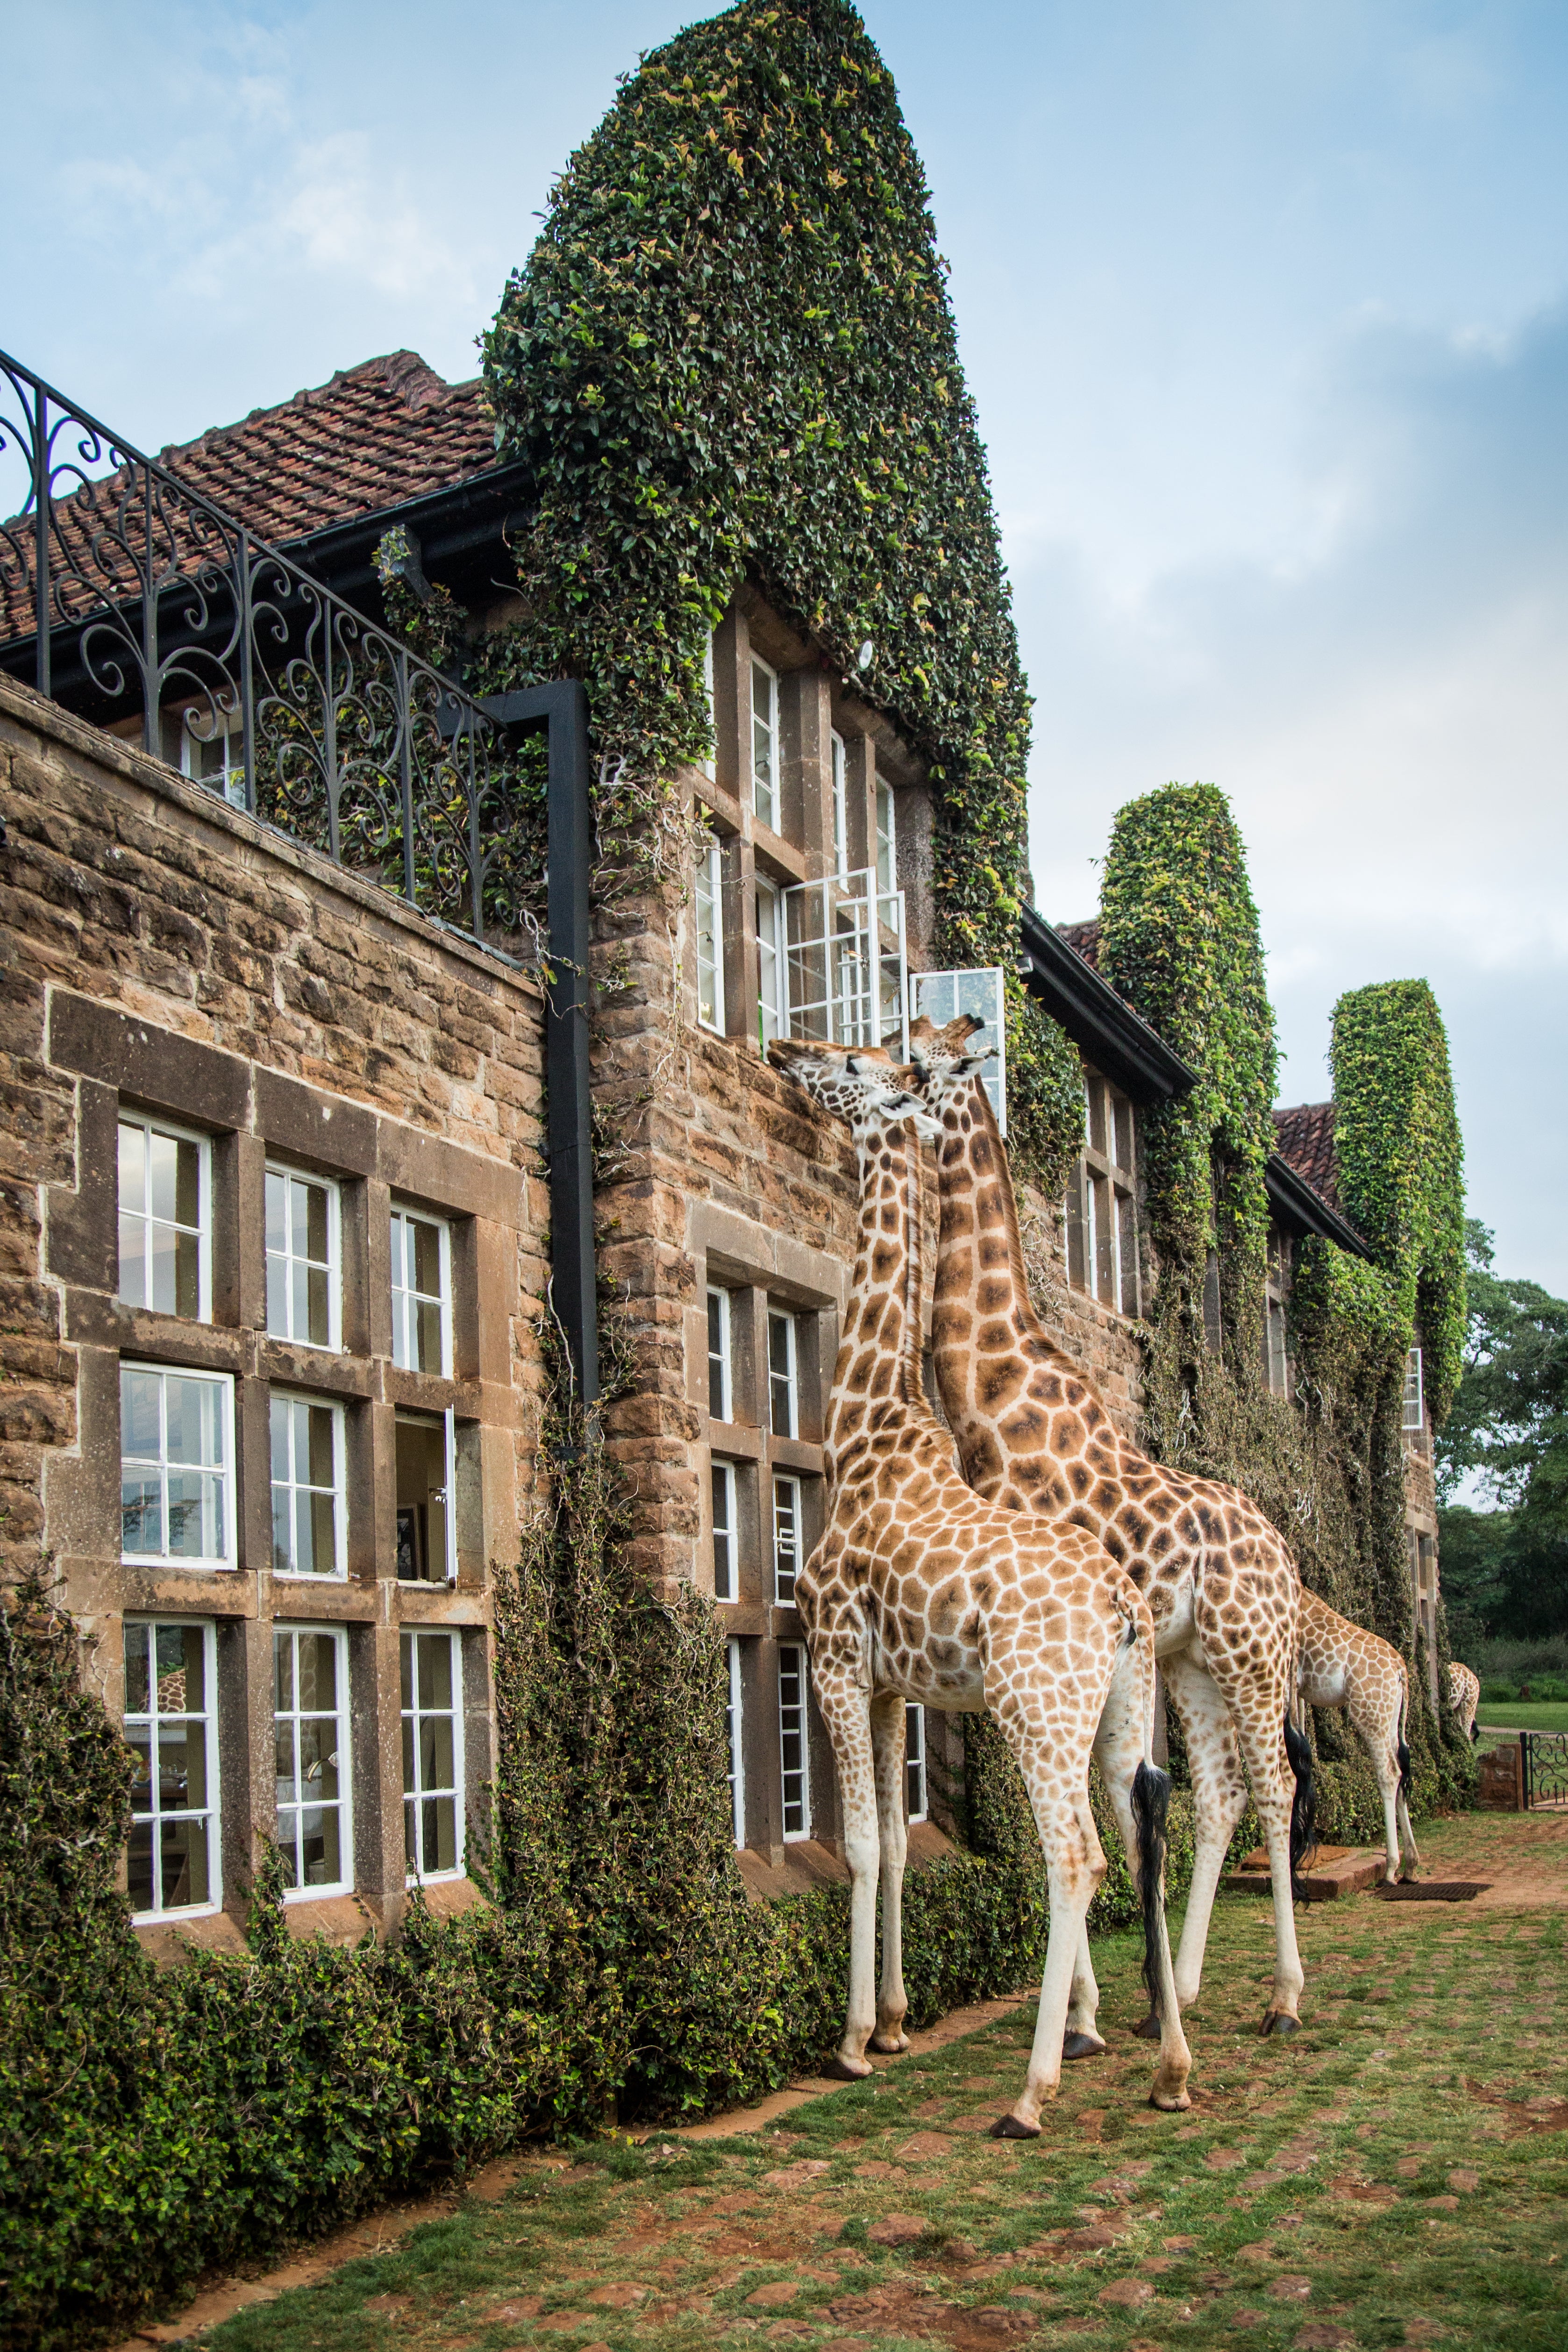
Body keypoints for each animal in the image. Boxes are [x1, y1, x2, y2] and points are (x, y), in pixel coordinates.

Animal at [767, 1037, 1192, 2132]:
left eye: (850, 1063)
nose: (783, 1047)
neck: (865, 1430)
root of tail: (1124, 1609)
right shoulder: (889, 1685)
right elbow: (897, 1844)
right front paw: (894, 2022)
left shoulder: (835, 1658)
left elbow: (862, 1845)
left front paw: (850, 2044)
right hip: (1117, 1712)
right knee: (1137, 1835)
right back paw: (1170, 2067)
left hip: (1034, 1709)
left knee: (1075, 1856)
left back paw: (1032, 2092)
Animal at [907, 1015, 1312, 2037]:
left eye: (914, 1058)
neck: (994, 1404)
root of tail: (1288, 1560)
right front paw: (1101, 2005)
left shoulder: (1042, 1641)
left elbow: (1069, 1815)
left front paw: (1078, 2015)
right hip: (1194, 1659)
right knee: (1222, 1793)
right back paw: (1187, 1990)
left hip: (1252, 1656)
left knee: (1276, 1786)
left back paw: (1285, 1997)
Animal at [1296, 1587, 1420, 1883]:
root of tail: (1401, 1670)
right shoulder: (1299, 1689)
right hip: (1390, 1718)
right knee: (1401, 1770)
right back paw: (1411, 1866)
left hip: (1369, 1714)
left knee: (1390, 1773)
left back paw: (1391, 1868)